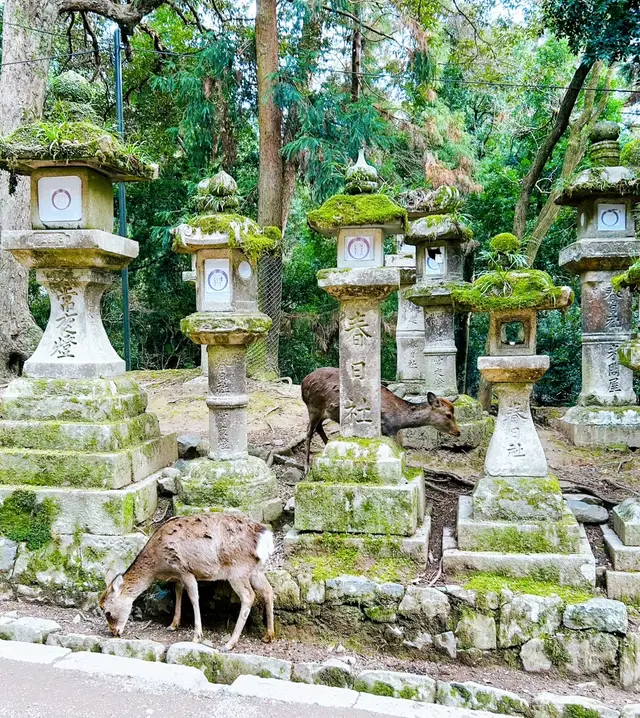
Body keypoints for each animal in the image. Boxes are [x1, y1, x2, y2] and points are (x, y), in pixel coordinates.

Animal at [99, 512, 275, 652]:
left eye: (107, 612)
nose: (114, 632)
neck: (158, 565)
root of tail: (265, 538)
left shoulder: (185, 570)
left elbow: (193, 597)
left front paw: (197, 636)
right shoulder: (179, 575)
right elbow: (178, 591)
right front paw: (173, 624)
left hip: (237, 569)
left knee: (249, 596)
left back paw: (229, 644)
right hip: (255, 570)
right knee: (268, 590)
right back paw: (269, 635)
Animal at [301, 367, 461, 471]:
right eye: (448, 415)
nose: (458, 432)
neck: (400, 419)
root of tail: (304, 382)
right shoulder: (389, 429)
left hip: (322, 412)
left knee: (318, 428)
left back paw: (328, 445)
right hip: (313, 407)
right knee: (308, 431)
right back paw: (306, 467)